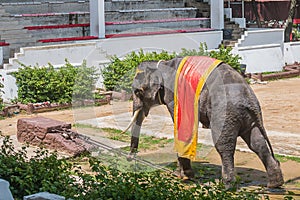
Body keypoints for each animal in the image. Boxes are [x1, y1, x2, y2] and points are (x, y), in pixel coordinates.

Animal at [123, 56, 284, 189]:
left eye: (137, 92)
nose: (129, 159)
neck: (162, 64)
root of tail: (249, 100)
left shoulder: (173, 97)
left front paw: (184, 176)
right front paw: (181, 174)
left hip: (225, 113)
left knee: (224, 145)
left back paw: (226, 185)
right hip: (247, 117)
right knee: (257, 142)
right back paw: (275, 184)